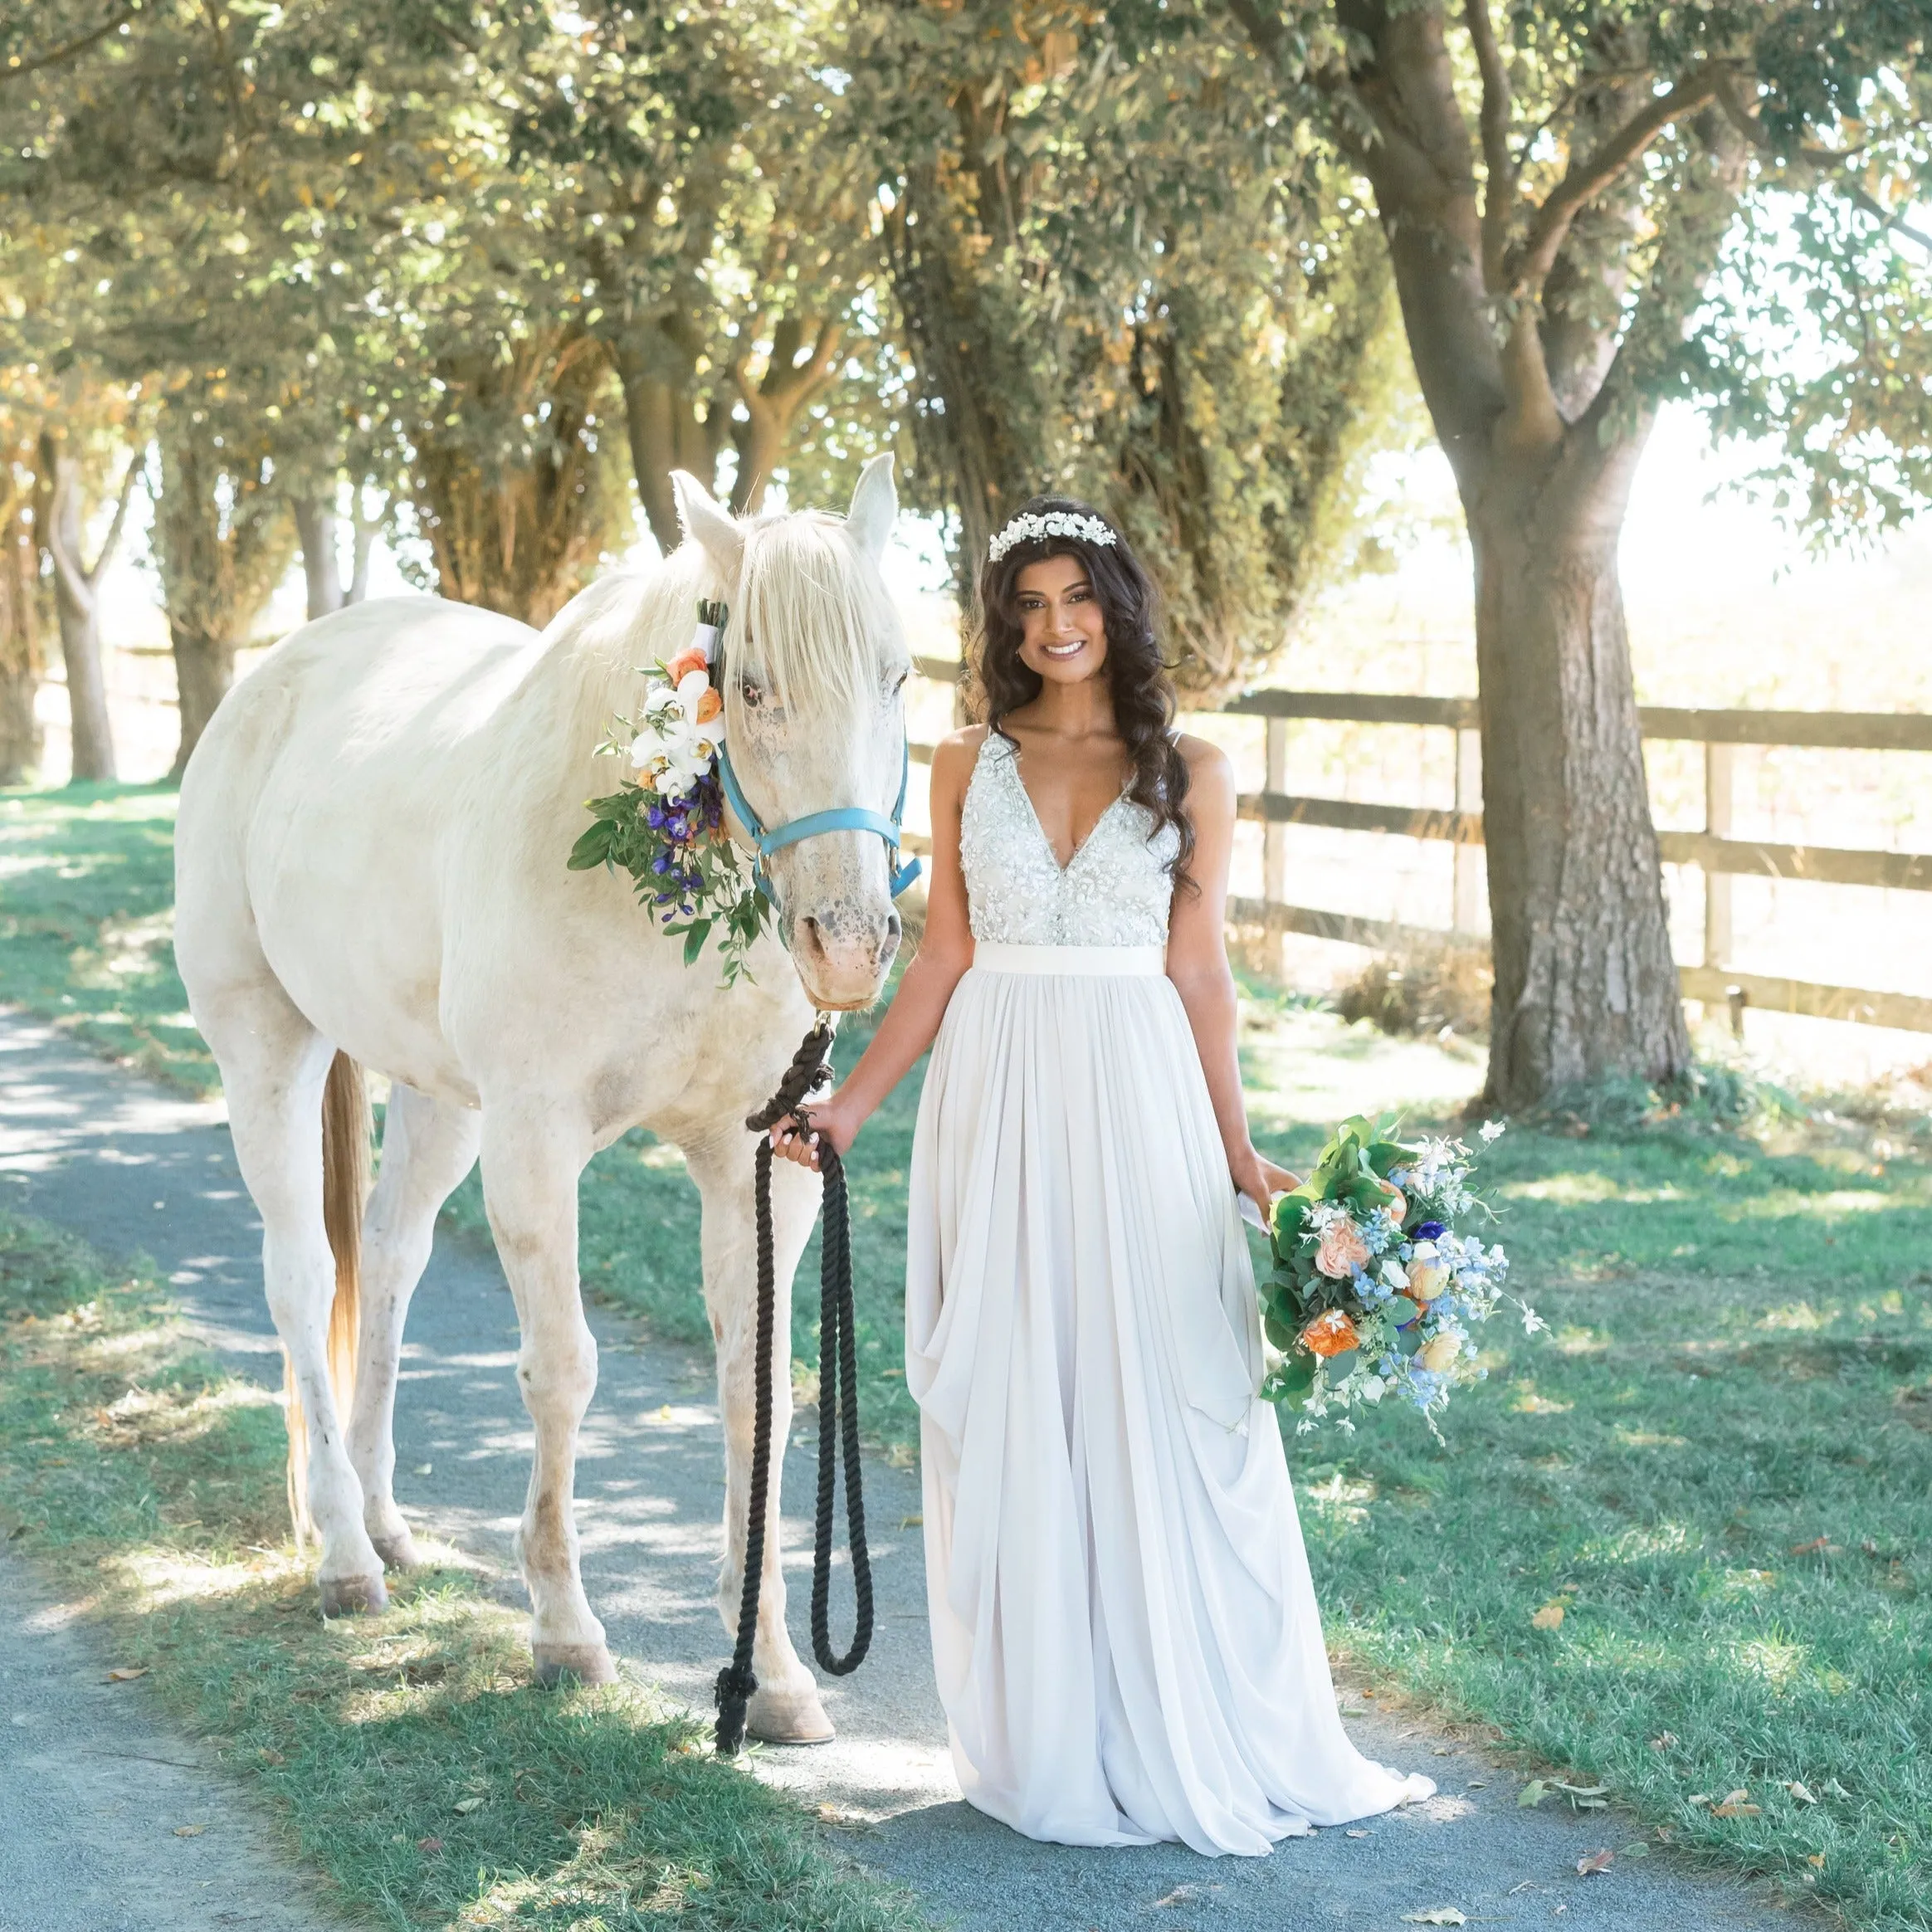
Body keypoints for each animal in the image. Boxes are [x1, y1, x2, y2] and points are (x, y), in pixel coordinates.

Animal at [169, 460, 908, 1746]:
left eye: (900, 677)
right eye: (750, 686)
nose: (851, 945)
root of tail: (274, 677)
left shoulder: (757, 1164)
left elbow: (755, 1394)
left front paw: (771, 1672)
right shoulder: (535, 1141)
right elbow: (561, 1369)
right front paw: (564, 1629)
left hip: (439, 1104)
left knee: (392, 1262)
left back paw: (385, 1522)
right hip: (267, 1049)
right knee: (303, 1277)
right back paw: (344, 1555)